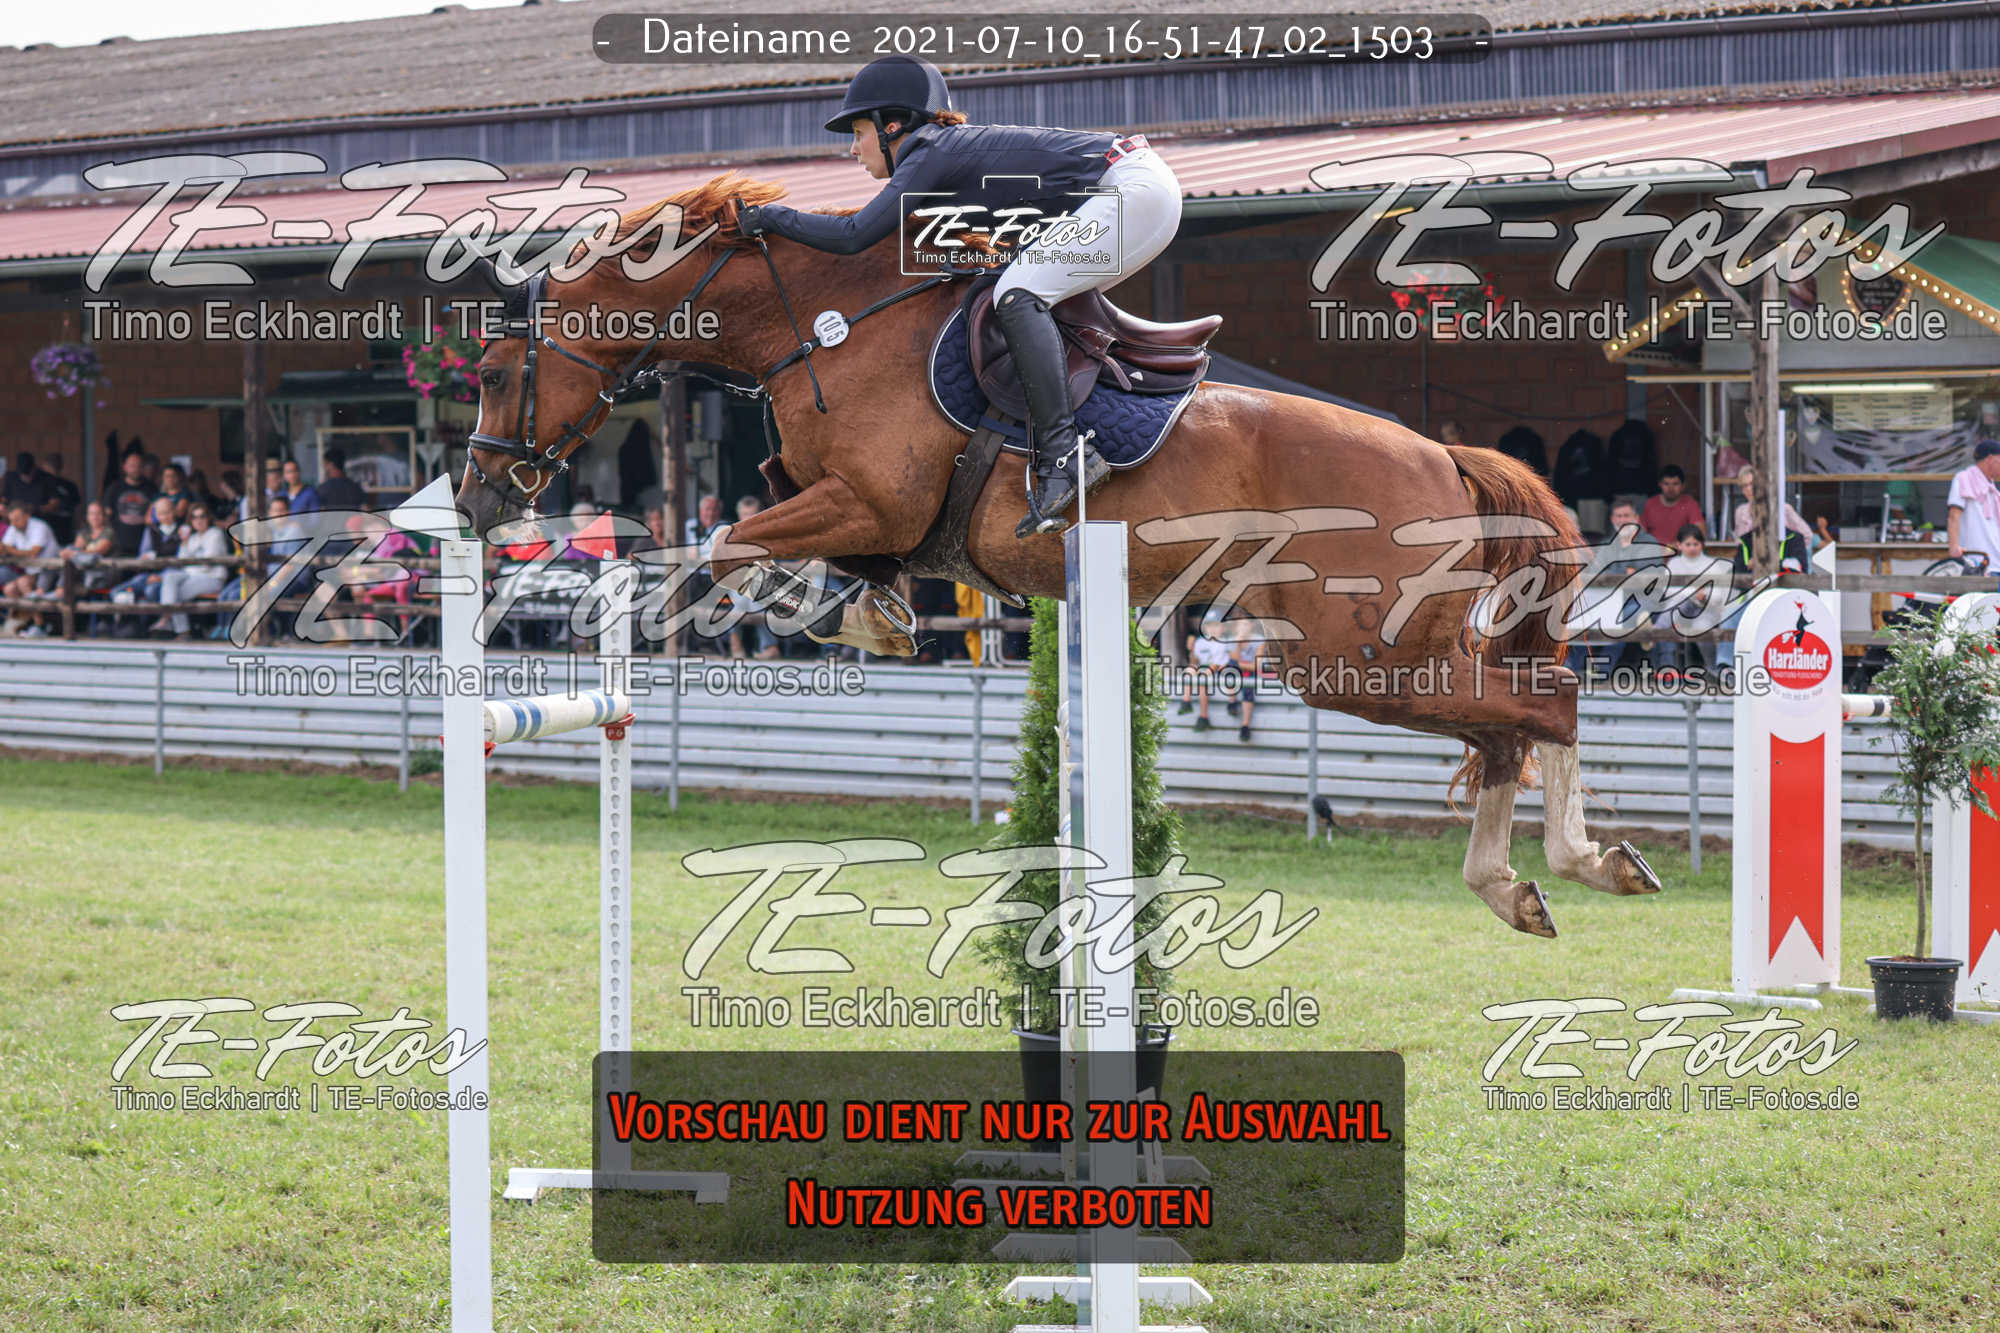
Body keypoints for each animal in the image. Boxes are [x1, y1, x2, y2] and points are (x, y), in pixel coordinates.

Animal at [457, 171, 1661, 938]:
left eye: (491, 373)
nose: (475, 496)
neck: (825, 325)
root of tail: (1441, 456)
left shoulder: (866, 500)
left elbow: (727, 539)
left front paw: (772, 605)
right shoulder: (865, 513)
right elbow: (788, 529)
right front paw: (875, 612)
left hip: (1358, 657)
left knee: (1543, 702)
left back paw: (1577, 862)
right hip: (1378, 656)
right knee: (1503, 725)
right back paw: (1516, 885)